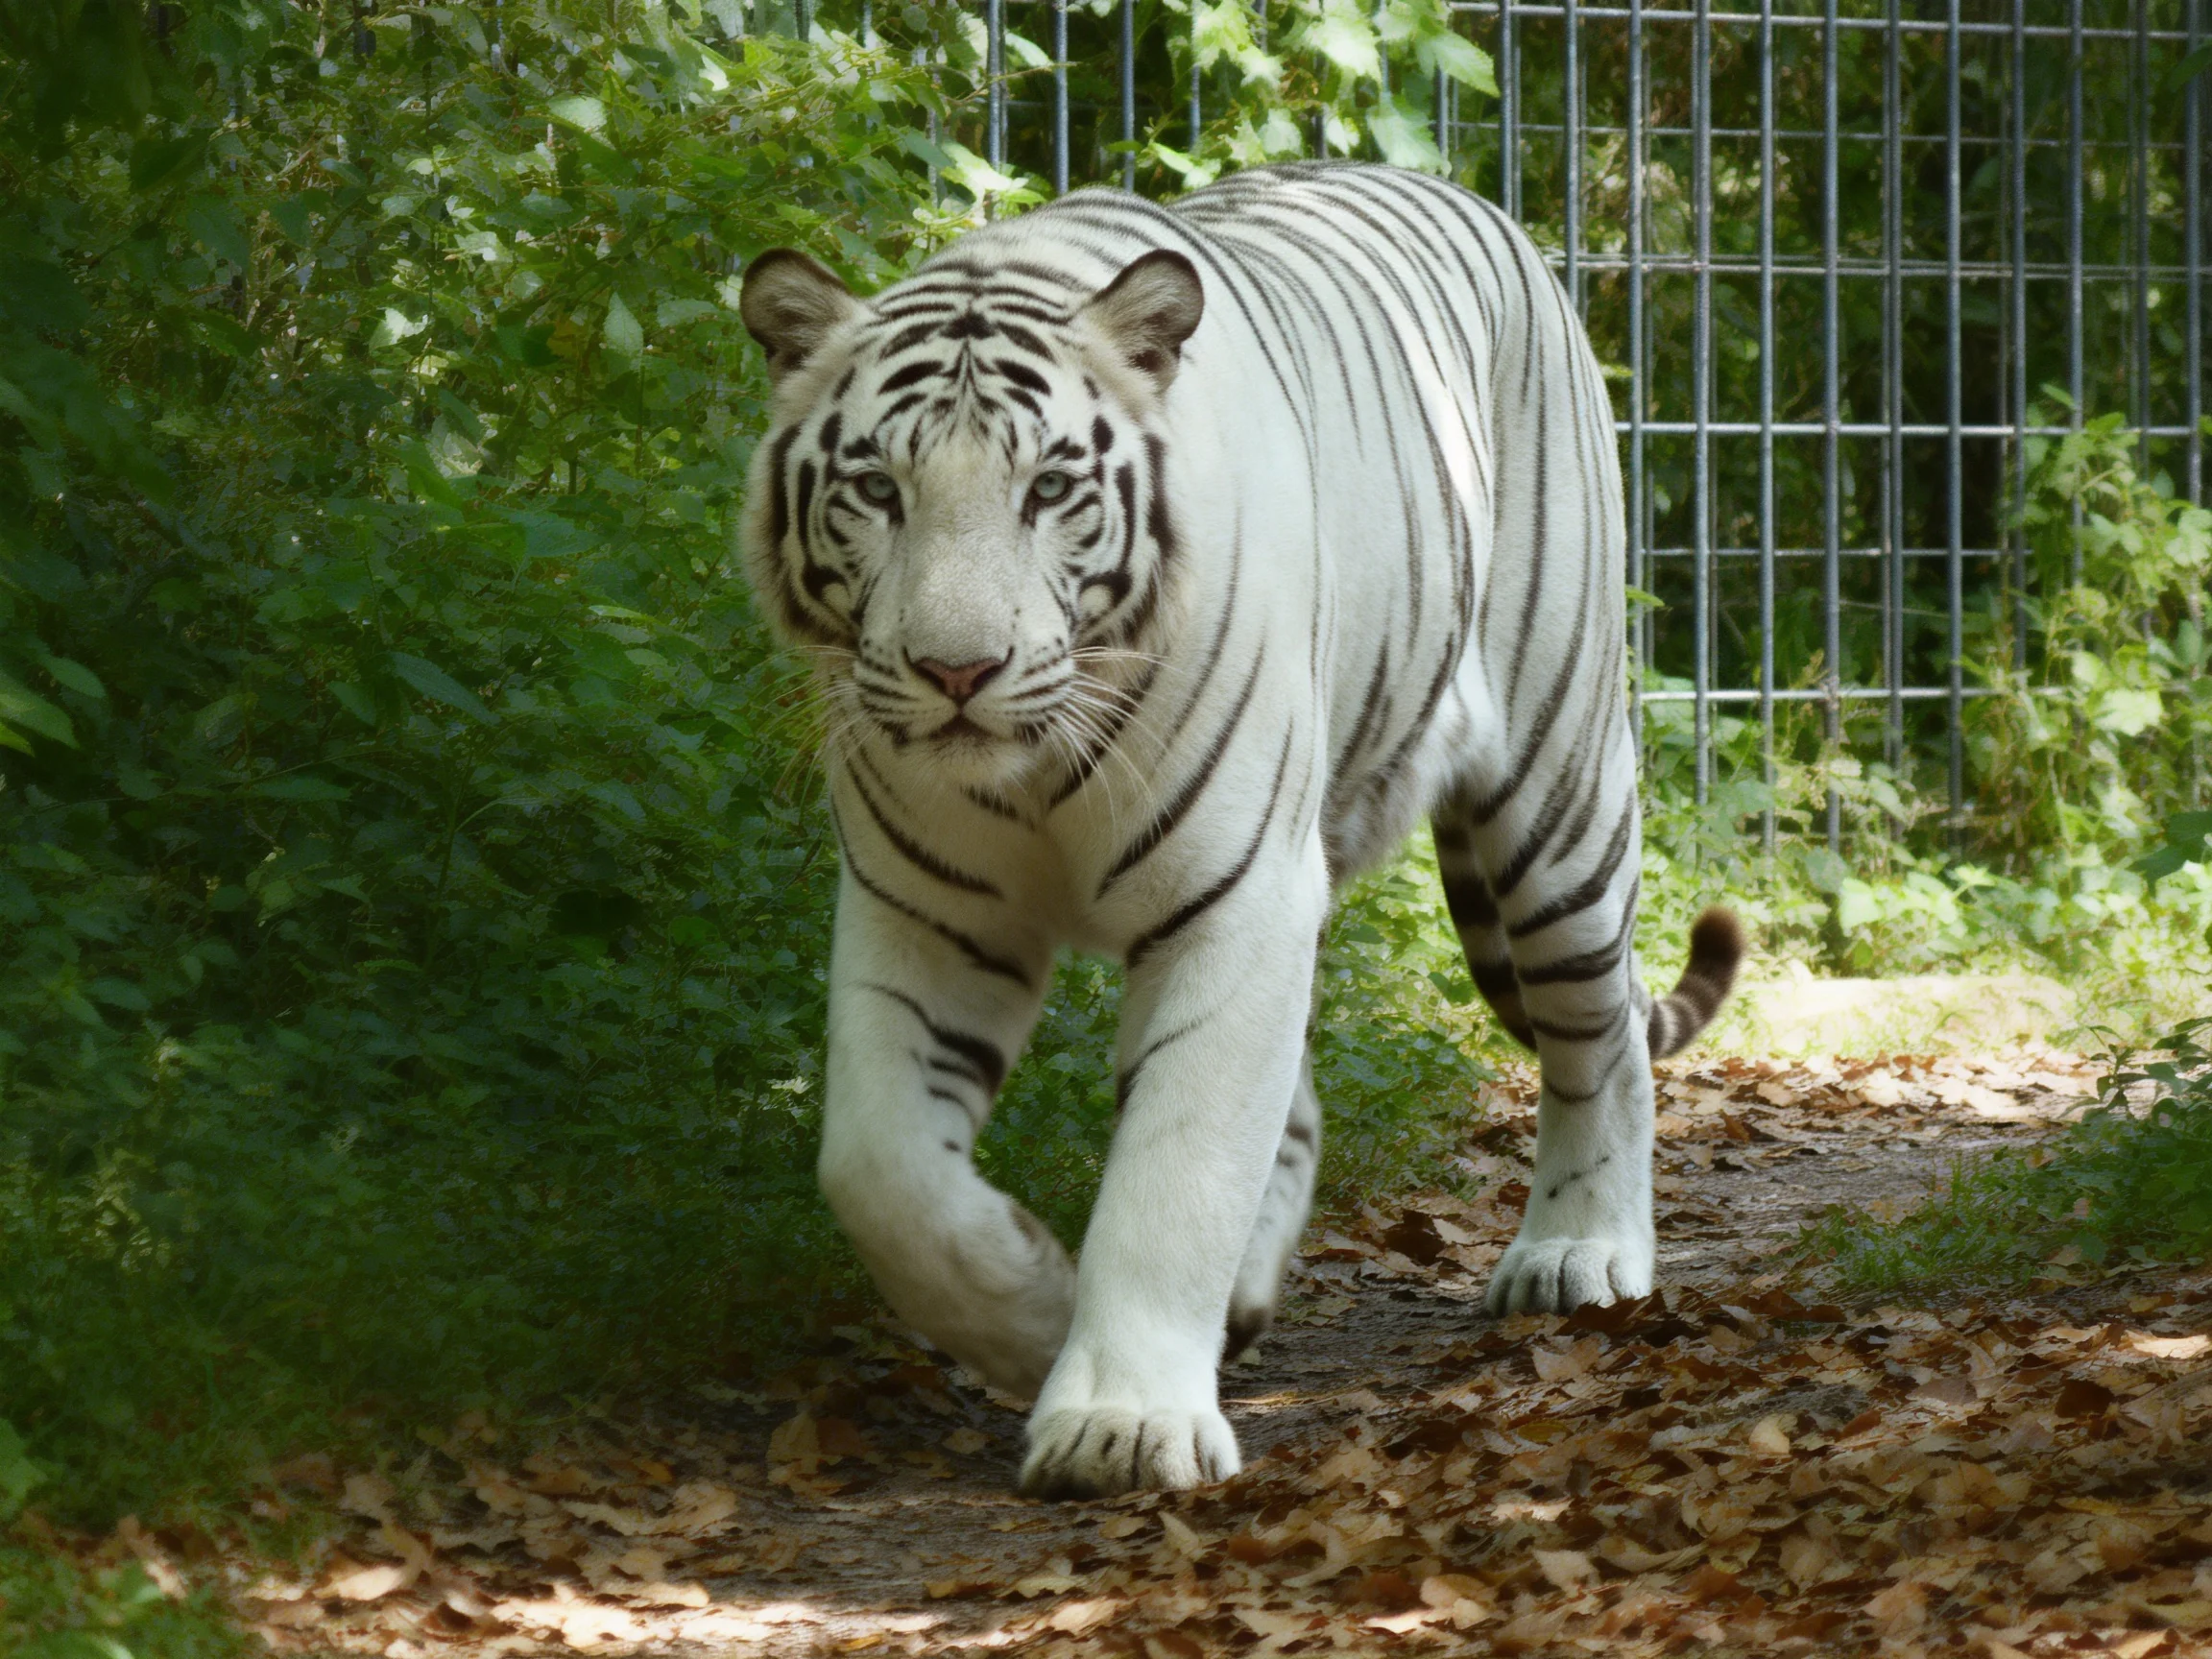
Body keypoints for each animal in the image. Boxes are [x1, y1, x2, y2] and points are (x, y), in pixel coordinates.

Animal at [738, 160, 1741, 1500]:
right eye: (877, 492)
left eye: (1047, 488)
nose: (958, 672)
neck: (1034, 778)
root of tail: (1466, 196)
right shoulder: (926, 915)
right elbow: (878, 1165)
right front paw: (1035, 1311)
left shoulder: (1232, 898)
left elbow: (1178, 1165)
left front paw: (1119, 1422)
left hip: (1557, 789)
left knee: (1601, 1039)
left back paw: (1579, 1255)